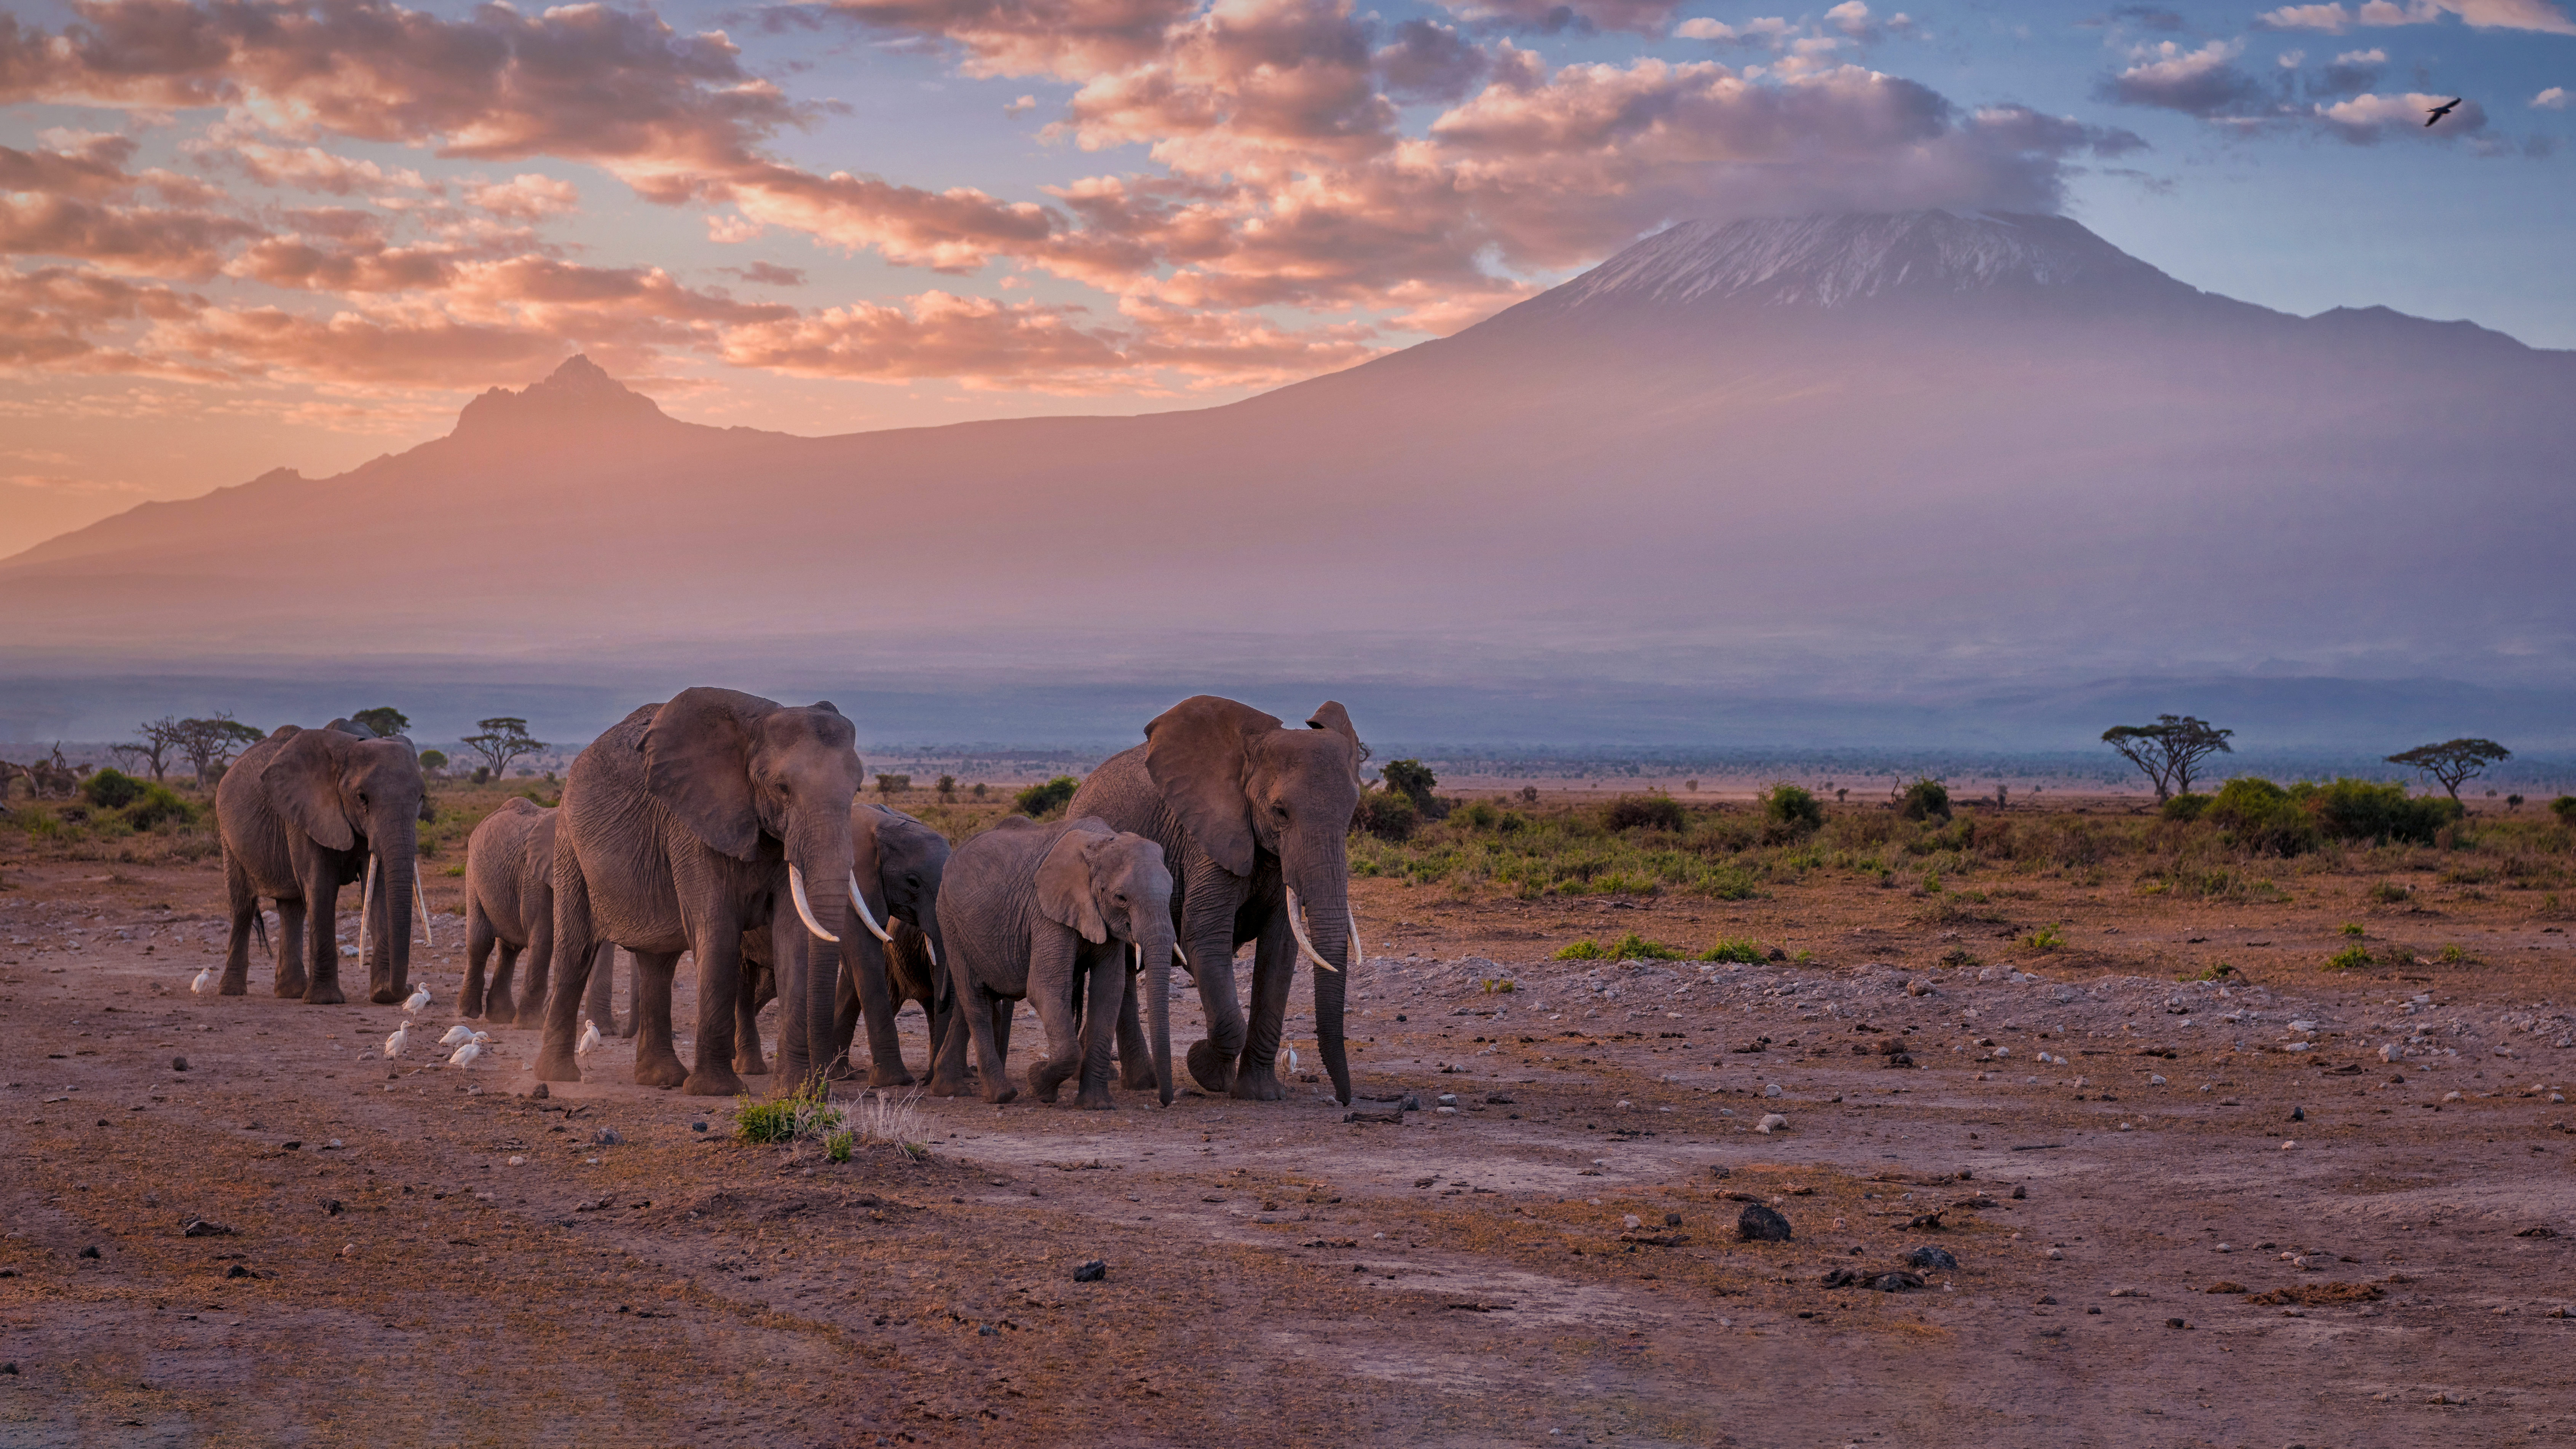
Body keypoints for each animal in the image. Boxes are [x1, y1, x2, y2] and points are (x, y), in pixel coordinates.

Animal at [214, 719, 431, 1005]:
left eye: (421, 798)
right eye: (362, 797)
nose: (406, 989)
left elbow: (378, 888)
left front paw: (383, 995)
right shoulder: (304, 814)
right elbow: (321, 886)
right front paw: (325, 999)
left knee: (292, 908)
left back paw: (292, 993)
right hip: (227, 835)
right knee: (243, 906)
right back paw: (232, 991)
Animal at [458, 798, 615, 1028]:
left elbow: (602, 944)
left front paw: (605, 1029)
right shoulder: (536, 878)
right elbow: (544, 936)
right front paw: (529, 1024)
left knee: (509, 950)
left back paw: (501, 1017)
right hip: (473, 876)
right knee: (481, 942)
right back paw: (469, 1013)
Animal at [535, 688, 863, 1095]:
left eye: (857, 790)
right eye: (782, 788)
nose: (822, 1085)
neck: (755, 727)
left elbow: (793, 935)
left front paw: (793, 1093)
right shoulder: (692, 829)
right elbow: (718, 929)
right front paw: (717, 1090)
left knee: (658, 963)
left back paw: (662, 1079)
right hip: (570, 847)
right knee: (575, 952)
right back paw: (558, 1075)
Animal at [931, 815, 1176, 1109]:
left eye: (1171, 893)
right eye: (1121, 898)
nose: (1164, 1101)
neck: (1100, 842)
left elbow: (1108, 992)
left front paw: (1096, 1105)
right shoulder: (1045, 911)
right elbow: (1045, 989)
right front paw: (1037, 1083)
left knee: (967, 1001)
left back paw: (948, 1088)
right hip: (949, 921)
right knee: (975, 1000)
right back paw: (1001, 1095)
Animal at [1064, 695, 1365, 1104]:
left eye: (1352, 812)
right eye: (1281, 812)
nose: (1345, 1100)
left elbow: (1281, 949)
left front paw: (1259, 1094)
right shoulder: (1207, 839)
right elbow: (1204, 938)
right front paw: (1204, 1069)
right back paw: (1144, 1082)